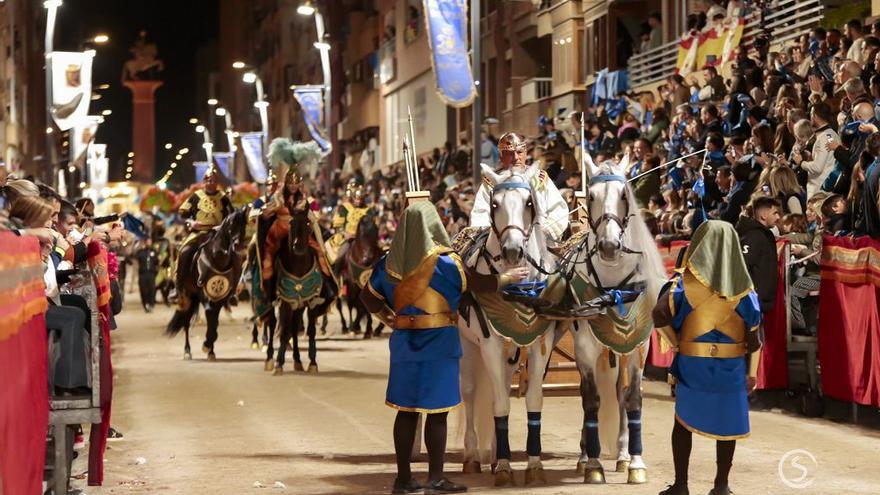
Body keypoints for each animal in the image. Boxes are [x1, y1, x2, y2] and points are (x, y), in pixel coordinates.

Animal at [166, 207, 249, 362]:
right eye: (231, 224)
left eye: (244, 224)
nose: (239, 246)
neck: (217, 258)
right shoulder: (205, 295)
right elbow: (210, 316)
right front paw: (206, 346)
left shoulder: (220, 297)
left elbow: (214, 323)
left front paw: (210, 349)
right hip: (187, 295)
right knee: (186, 322)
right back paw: (187, 352)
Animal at [272, 207, 336, 374]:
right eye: (291, 222)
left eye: (308, 224)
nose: (298, 247)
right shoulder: (286, 303)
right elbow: (284, 333)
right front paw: (278, 364)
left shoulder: (312, 302)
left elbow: (311, 331)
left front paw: (313, 363)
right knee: (288, 329)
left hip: (300, 306)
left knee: (294, 329)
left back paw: (298, 361)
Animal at [340, 211, 384, 340]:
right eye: (361, 234)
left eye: (375, 232)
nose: (367, 258)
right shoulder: (353, 284)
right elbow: (359, 306)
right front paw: (358, 328)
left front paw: (367, 330)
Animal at [458, 164, 560, 488]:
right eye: (494, 204)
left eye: (529, 203)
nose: (513, 250)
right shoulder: (489, 344)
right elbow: (500, 404)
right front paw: (504, 467)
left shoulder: (539, 345)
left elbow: (534, 400)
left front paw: (534, 465)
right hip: (469, 346)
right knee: (471, 393)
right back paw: (475, 457)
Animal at [564, 152, 668, 484]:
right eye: (591, 196)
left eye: (624, 195)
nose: (610, 246)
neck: (614, 288)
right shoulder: (585, 346)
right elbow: (591, 399)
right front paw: (593, 464)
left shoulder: (638, 346)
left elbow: (632, 397)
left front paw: (635, 463)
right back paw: (585, 455)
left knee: (620, 395)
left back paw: (622, 456)